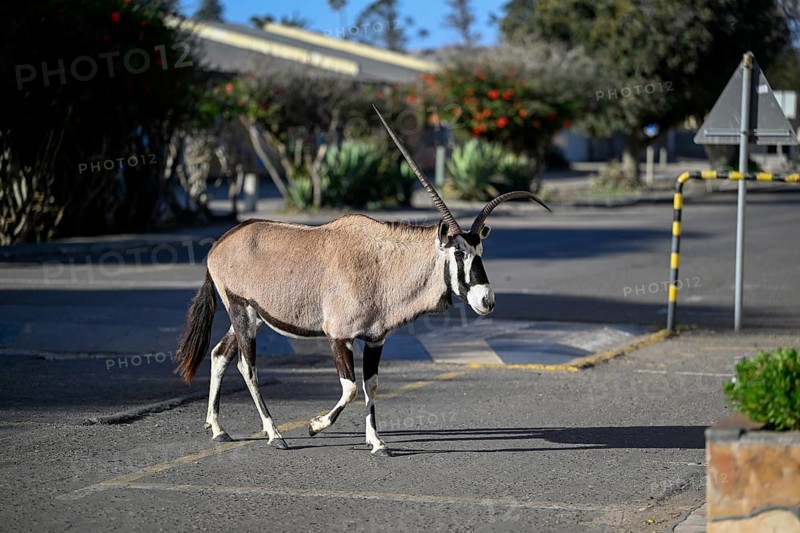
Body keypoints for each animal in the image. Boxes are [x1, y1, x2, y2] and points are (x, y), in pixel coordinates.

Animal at [174, 106, 550, 456]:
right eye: (459, 253)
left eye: (480, 251)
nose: (487, 300)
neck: (381, 265)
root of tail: (221, 243)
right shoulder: (338, 336)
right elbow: (350, 387)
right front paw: (314, 426)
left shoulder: (374, 339)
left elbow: (372, 386)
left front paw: (378, 442)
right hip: (241, 311)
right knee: (247, 366)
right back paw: (275, 434)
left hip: (251, 316)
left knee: (220, 355)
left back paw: (218, 429)